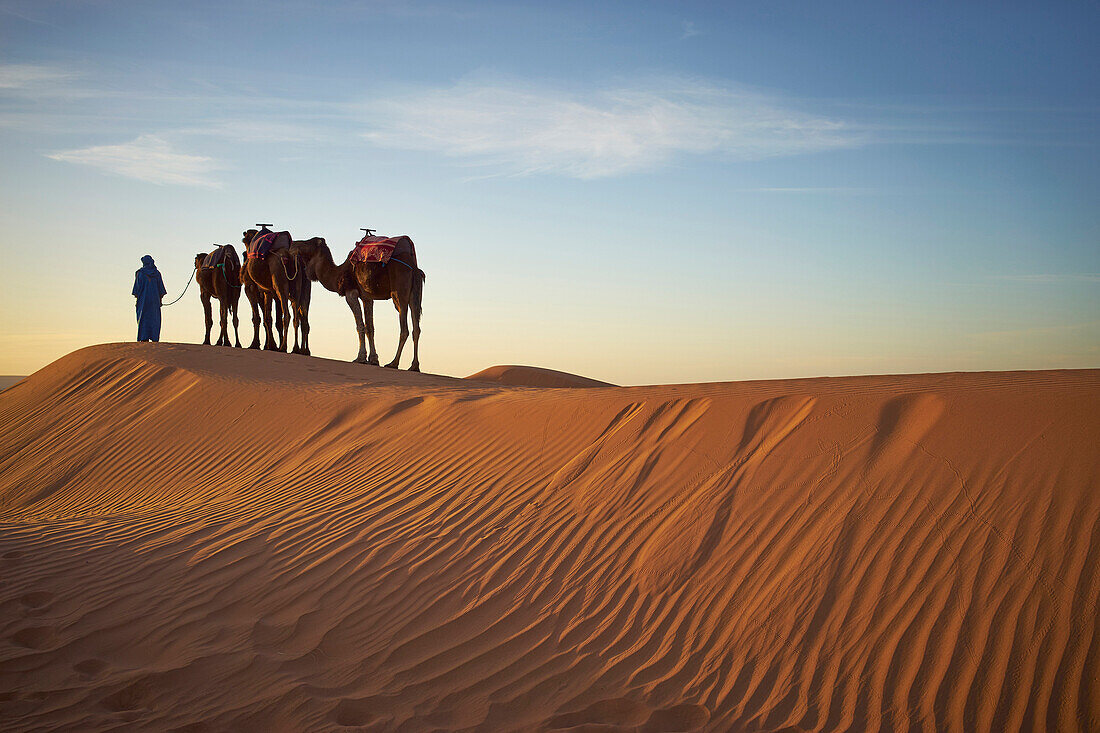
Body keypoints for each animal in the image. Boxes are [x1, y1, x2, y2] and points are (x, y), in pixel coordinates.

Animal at [290, 235, 422, 372]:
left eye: (307, 242)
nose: (292, 245)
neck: (338, 273)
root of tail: (413, 267)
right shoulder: (367, 297)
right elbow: (370, 327)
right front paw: (373, 359)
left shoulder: (350, 293)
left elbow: (360, 326)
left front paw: (360, 358)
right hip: (415, 295)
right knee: (416, 328)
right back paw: (414, 366)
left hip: (399, 291)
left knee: (404, 328)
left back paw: (393, 363)